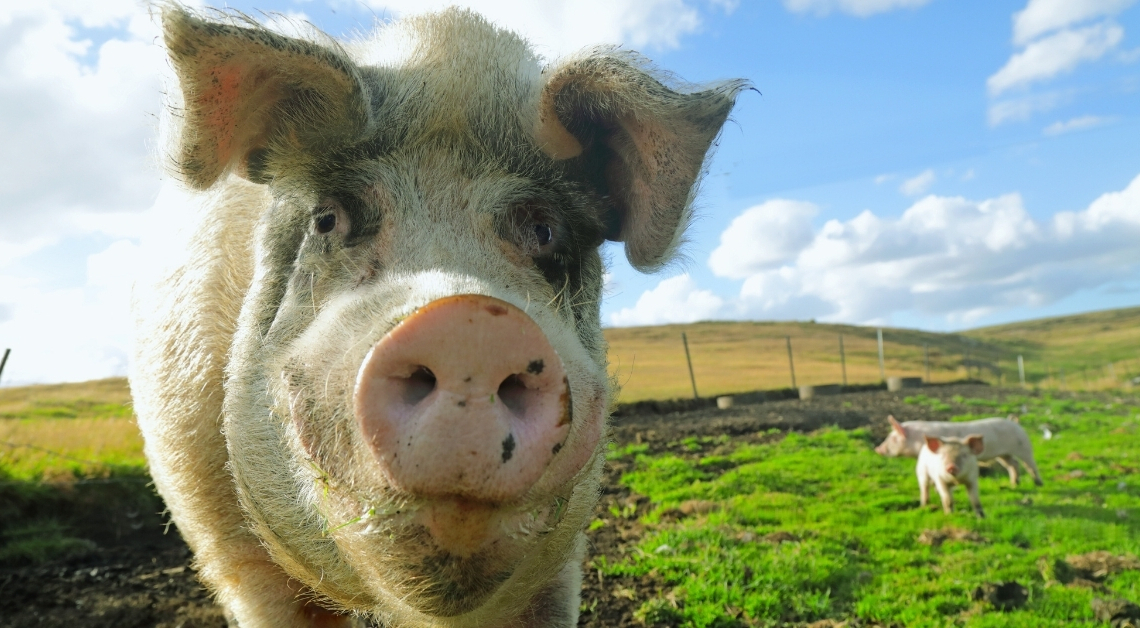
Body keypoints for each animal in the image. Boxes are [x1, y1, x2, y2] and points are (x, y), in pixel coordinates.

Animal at [875, 415, 1042, 487]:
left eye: (893, 438)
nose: (877, 449)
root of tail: (1015, 422)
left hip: (1024, 447)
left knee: (1030, 465)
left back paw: (1038, 483)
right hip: (1003, 454)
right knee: (1013, 464)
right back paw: (1014, 484)